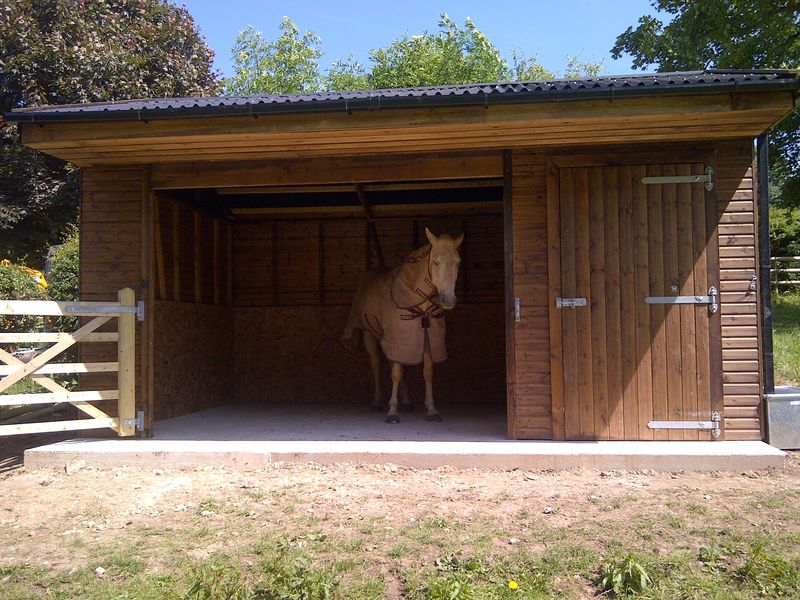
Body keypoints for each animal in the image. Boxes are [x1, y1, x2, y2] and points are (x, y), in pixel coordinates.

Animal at [342, 229, 466, 422]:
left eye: (458, 263)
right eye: (435, 261)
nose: (448, 300)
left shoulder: (426, 337)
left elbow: (426, 372)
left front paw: (432, 410)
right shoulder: (398, 338)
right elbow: (396, 373)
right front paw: (392, 411)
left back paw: (406, 401)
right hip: (369, 334)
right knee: (376, 365)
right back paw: (378, 403)